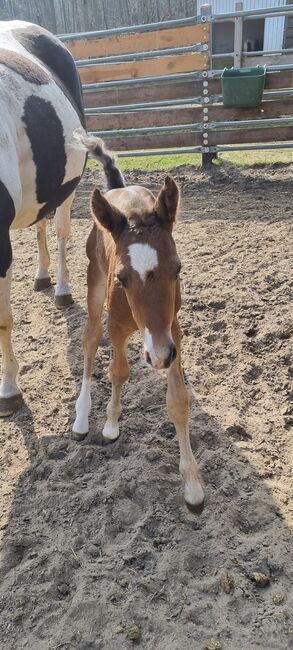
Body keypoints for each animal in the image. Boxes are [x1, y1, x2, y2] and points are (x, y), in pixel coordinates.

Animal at [72, 135, 203, 512]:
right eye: (122, 278)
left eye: (178, 269)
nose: (157, 356)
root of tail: (118, 188)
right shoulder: (117, 326)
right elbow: (118, 371)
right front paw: (110, 425)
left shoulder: (172, 333)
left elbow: (178, 400)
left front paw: (192, 486)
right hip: (93, 285)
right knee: (89, 339)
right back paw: (82, 417)